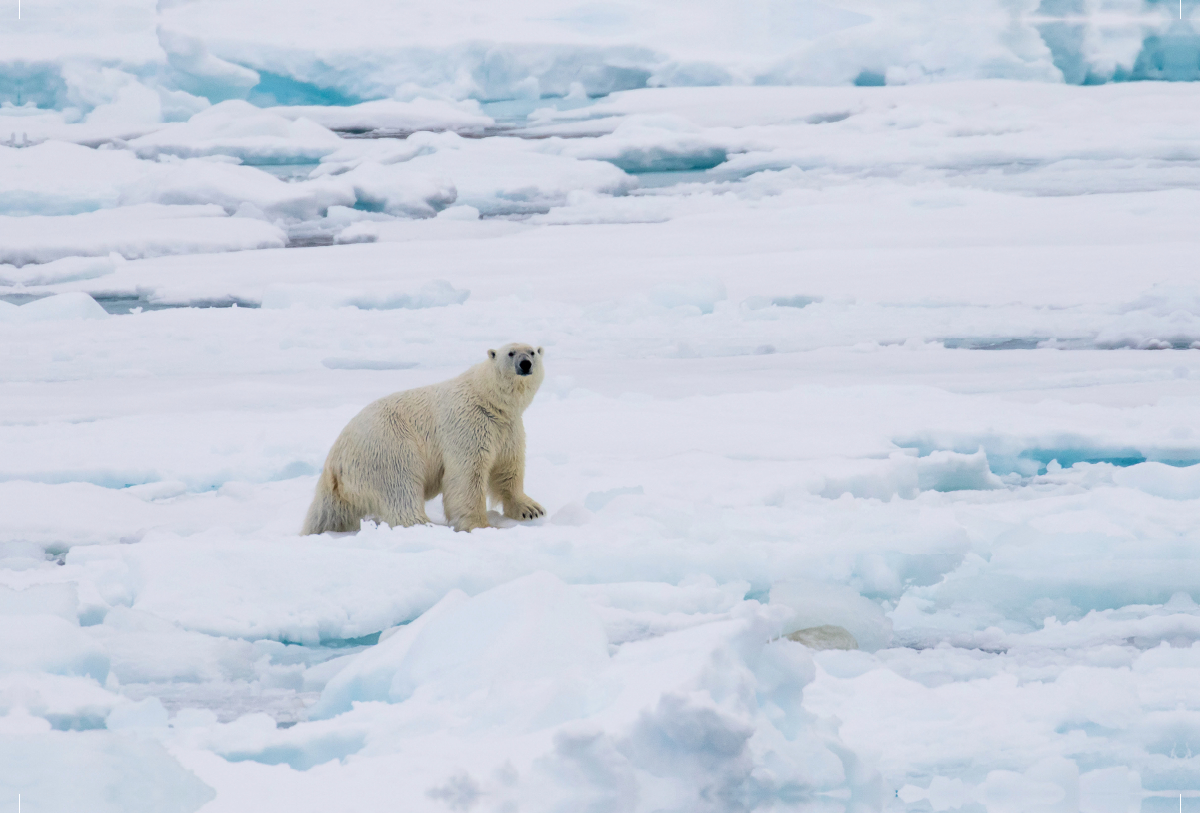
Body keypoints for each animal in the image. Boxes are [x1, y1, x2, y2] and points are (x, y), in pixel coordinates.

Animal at [302, 342, 547, 534]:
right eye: (511, 353)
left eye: (532, 352)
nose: (526, 364)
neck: (487, 399)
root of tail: (334, 461)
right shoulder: (468, 425)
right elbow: (468, 475)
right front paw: (481, 525)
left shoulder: (507, 429)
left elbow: (508, 468)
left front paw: (531, 510)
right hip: (387, 449)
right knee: (401, 488)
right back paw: (426, 525)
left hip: (344, 487)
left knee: (330, 513)